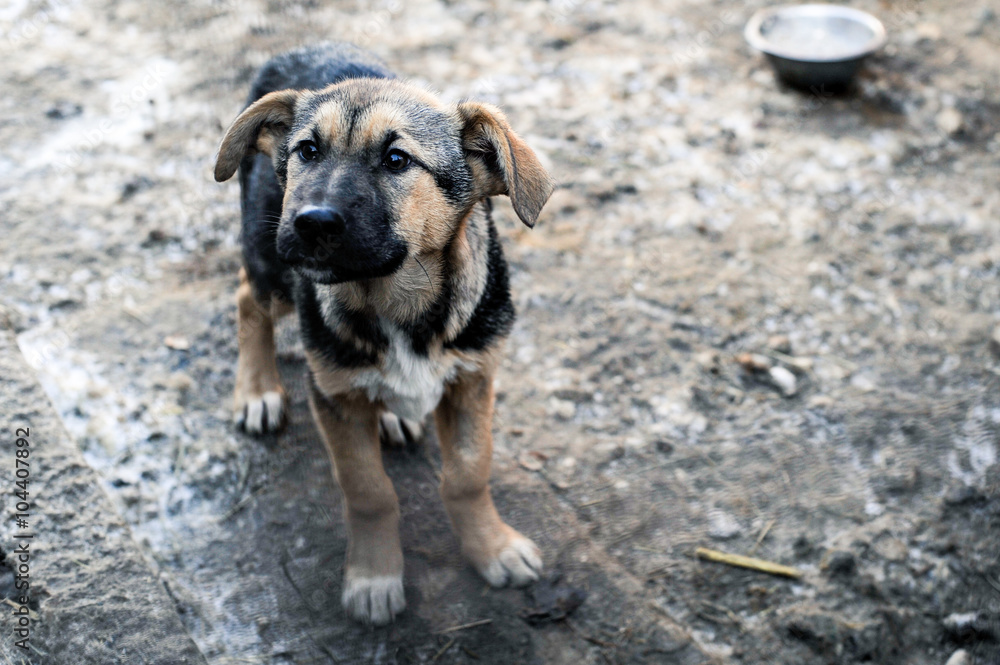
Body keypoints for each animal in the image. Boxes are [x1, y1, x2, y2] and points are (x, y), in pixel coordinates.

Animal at [214, 44, 556, 624]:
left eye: (397, 160)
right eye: (308, 151)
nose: (311, 222)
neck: (394, 300)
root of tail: (302, 47)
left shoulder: (473, 379)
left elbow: (469, 474)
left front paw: (493, 549)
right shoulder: (335, 395)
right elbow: (368, 491)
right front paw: (374, 577)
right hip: (270, 255)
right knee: (246, 297)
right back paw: (257, 391)